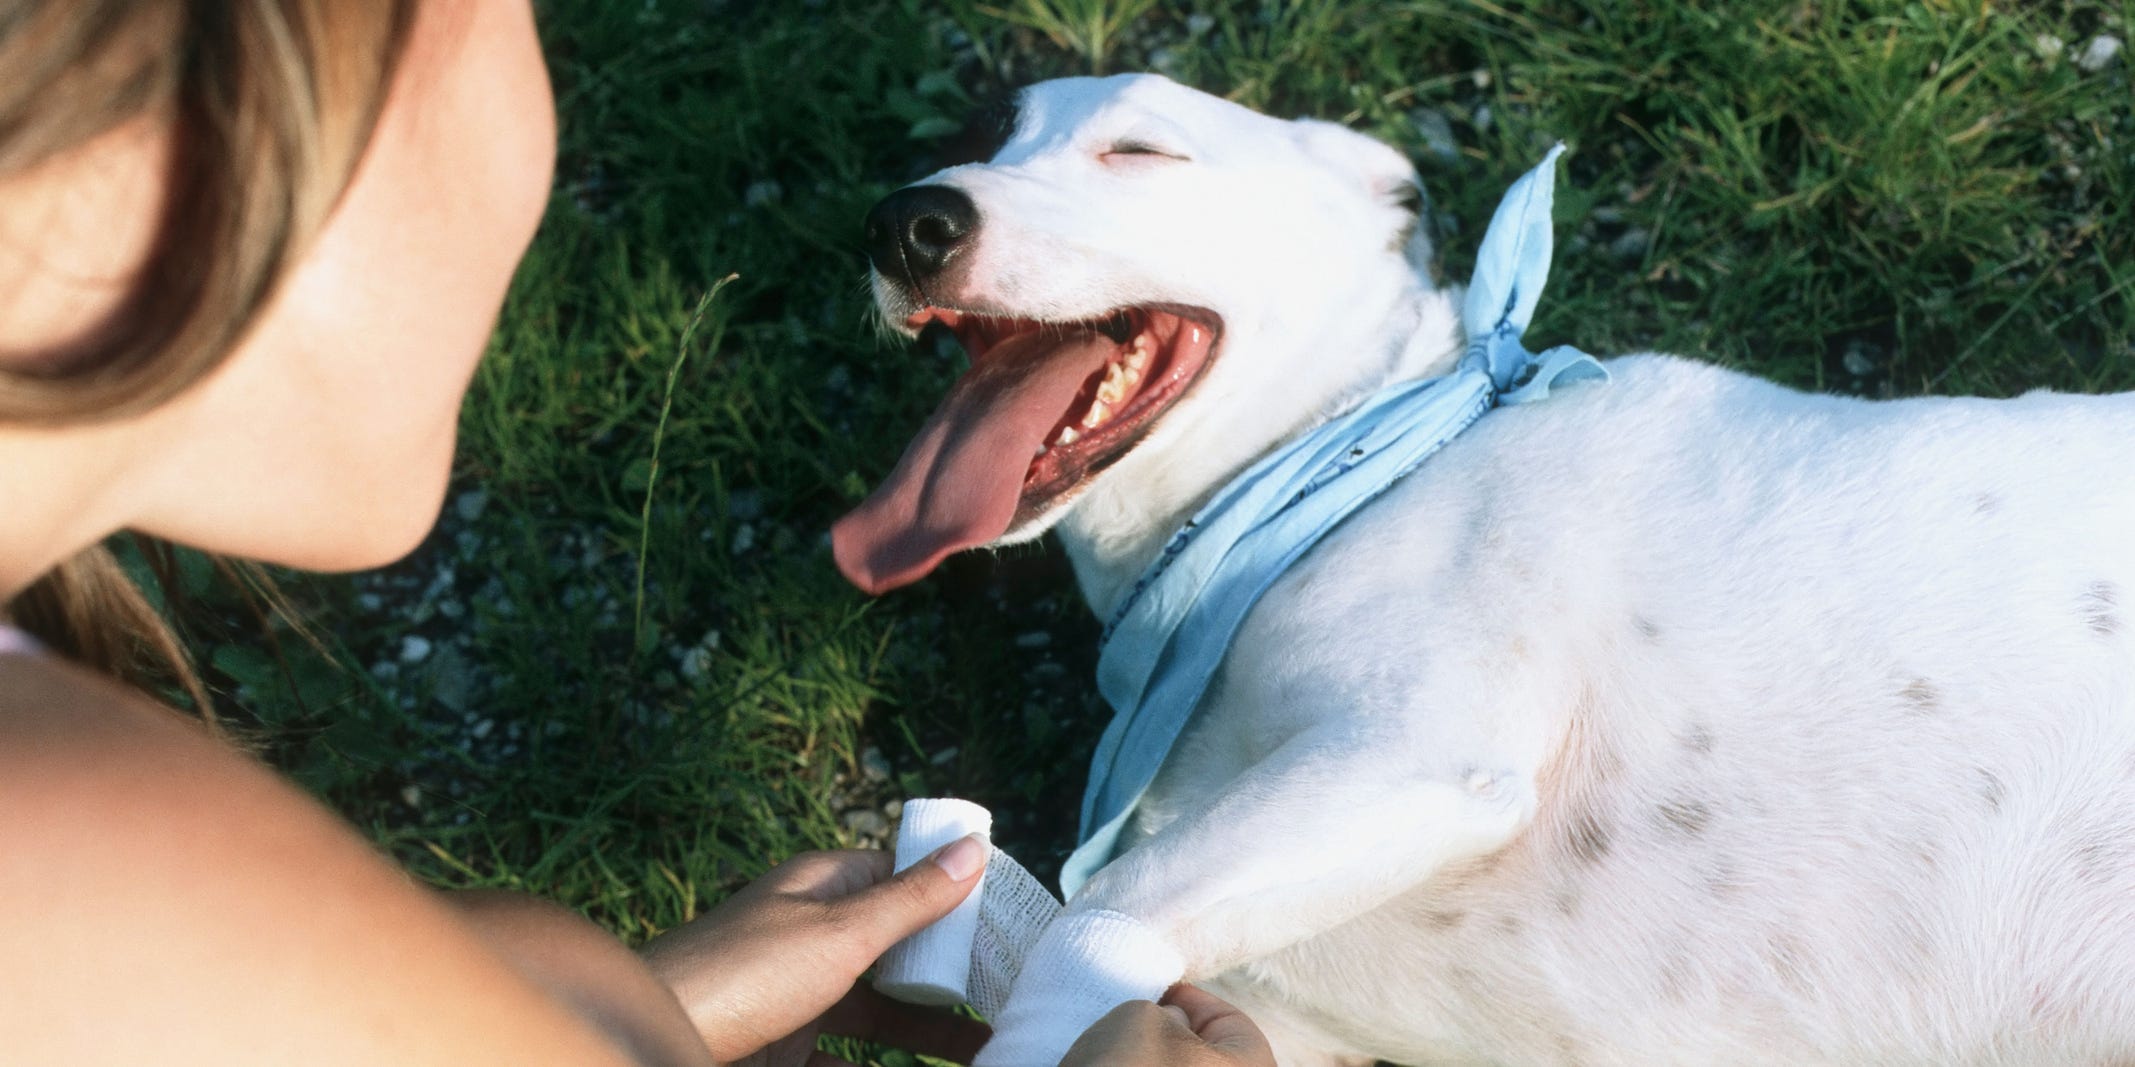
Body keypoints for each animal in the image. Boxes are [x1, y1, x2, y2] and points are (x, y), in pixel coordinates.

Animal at [828, 70, 2135, 1062]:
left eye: (1139, 149)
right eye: (990, 136)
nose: (906, 220)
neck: (1335, 464)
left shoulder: (1415, 751)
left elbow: (1095, 906)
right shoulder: (1267, 1011)